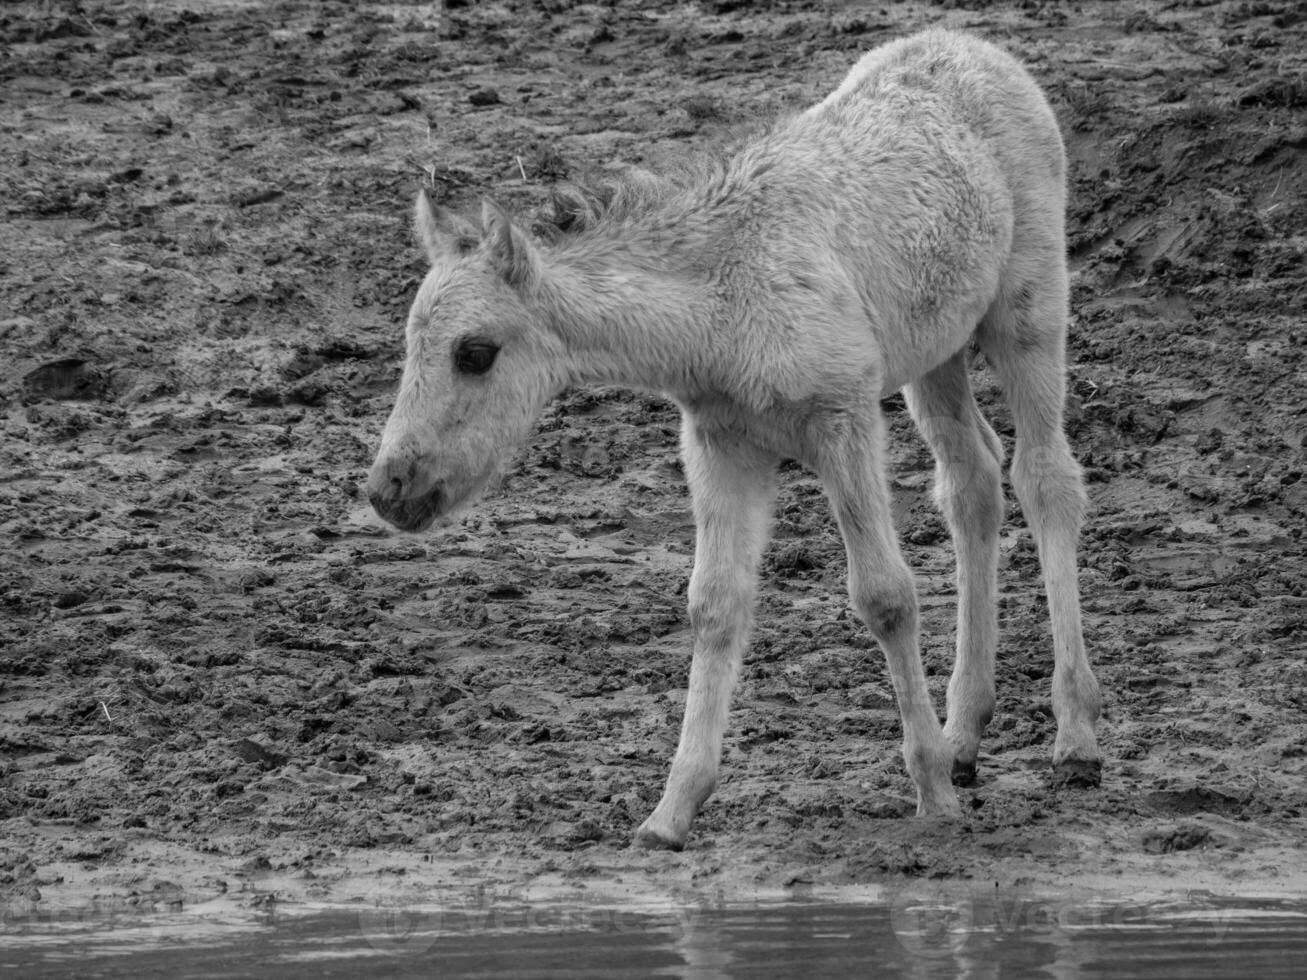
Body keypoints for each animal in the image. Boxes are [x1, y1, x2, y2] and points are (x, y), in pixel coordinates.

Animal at [368, 26, 1103, 846]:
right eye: (409, 345)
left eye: (475, 352)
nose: (389, 488)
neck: (723, 302)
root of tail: (971, 44)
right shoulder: (721, 443)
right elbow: (714, 604)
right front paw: (670, 812)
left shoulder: (843, 421)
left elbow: (884, 595)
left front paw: (932, 795)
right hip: (934, 351)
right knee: (971, 481)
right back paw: (965, 733)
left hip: (1026, 310)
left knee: (1044, 479)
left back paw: (1073, 737)